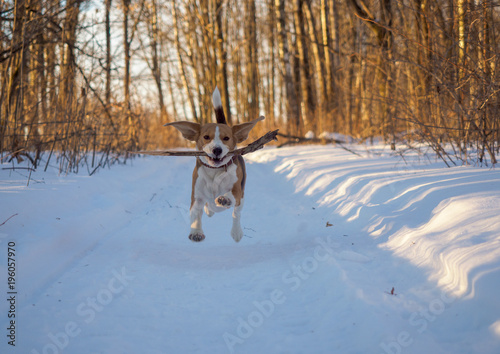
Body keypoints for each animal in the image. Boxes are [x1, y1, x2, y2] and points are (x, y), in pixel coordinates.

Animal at [166, 88, 264, 243]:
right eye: (206, 137)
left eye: (226, 138)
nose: (216, 150)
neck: (215, 171)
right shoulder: (197, 196)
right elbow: (195, 214)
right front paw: (196, 231)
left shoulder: (237, 191)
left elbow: (231, 196)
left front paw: (224, 199)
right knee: (211, 207)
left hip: (241, 199)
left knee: (236, 214)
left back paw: (236, 231)